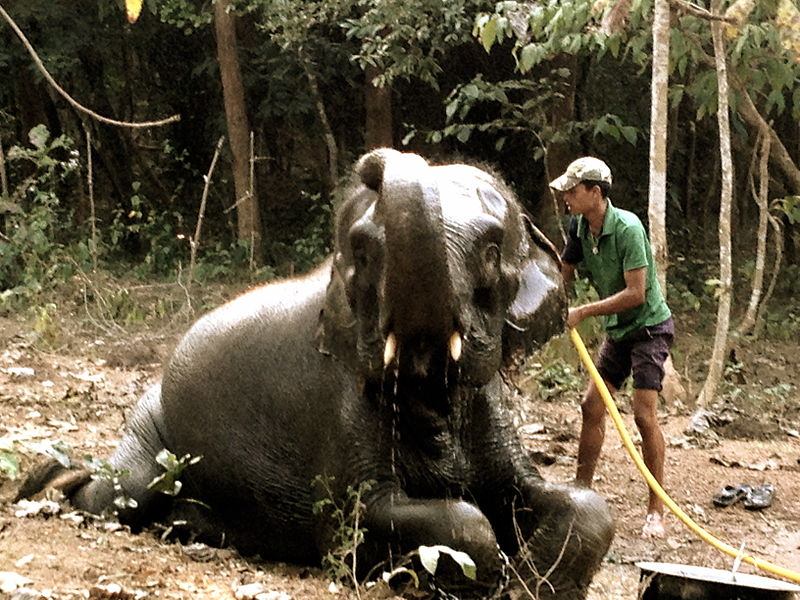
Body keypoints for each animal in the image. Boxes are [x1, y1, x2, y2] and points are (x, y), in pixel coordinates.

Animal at [23, 149, 612, 596]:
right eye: (363, 252)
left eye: (491, 249)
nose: (373, 164)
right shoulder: (336, 406)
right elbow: (363, 521)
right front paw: (486, 581)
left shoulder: (490, 411)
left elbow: (576, 504)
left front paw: (533, 586)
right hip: (152, 424)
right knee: (121, 494)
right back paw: (50, 483)